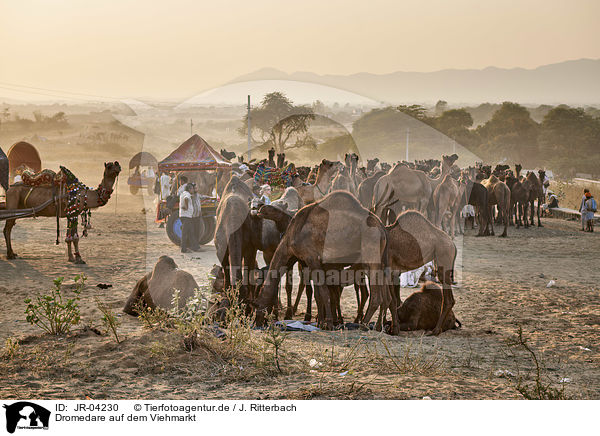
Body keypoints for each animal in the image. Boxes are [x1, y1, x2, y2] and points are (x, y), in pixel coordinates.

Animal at [251, 192, 396, 332]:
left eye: (257, 305)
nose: (256, 324)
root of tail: (382, 227)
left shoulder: (312, 258)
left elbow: (324, 292)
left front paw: (328, 324)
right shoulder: (314, 263)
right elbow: (320, 294)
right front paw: (322, 322)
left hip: (371, 258)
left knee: (376, 296)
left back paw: (363, 325)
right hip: (382, 261)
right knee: (386, 297)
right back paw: (379, 327)